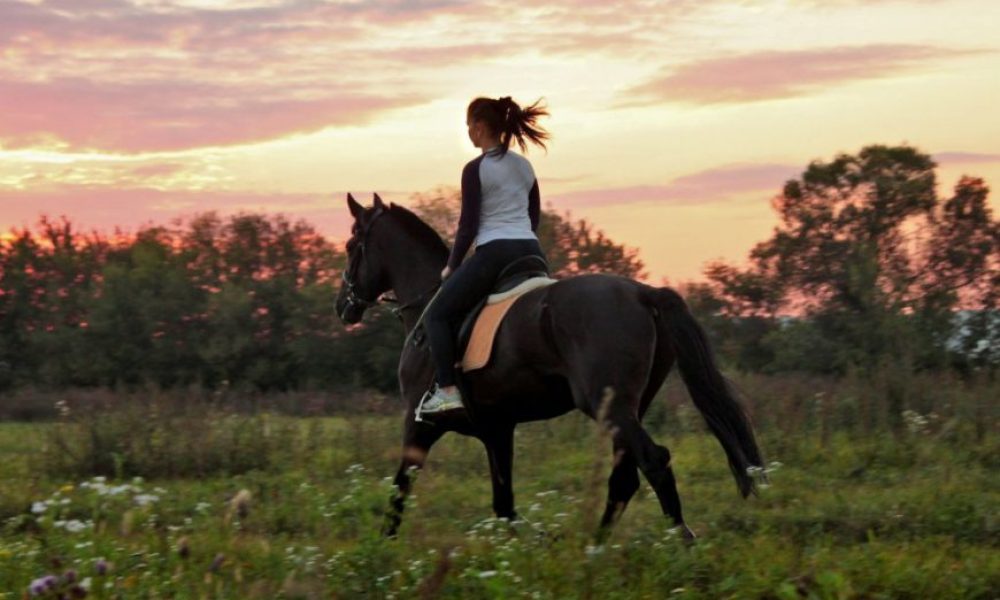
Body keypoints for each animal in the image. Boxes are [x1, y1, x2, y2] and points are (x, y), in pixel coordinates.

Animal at [336, 193, 764, 540]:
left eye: (351, 245)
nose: (343, 306)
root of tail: (643, 293)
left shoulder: (420, 425)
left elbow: (399, 492)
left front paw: (382, 554)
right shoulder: (496, 430)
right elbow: (504, 506)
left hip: (609, 407)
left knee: (653, 462)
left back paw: (679, 544)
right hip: (627, 408)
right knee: (624, 477)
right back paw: (593, 549)